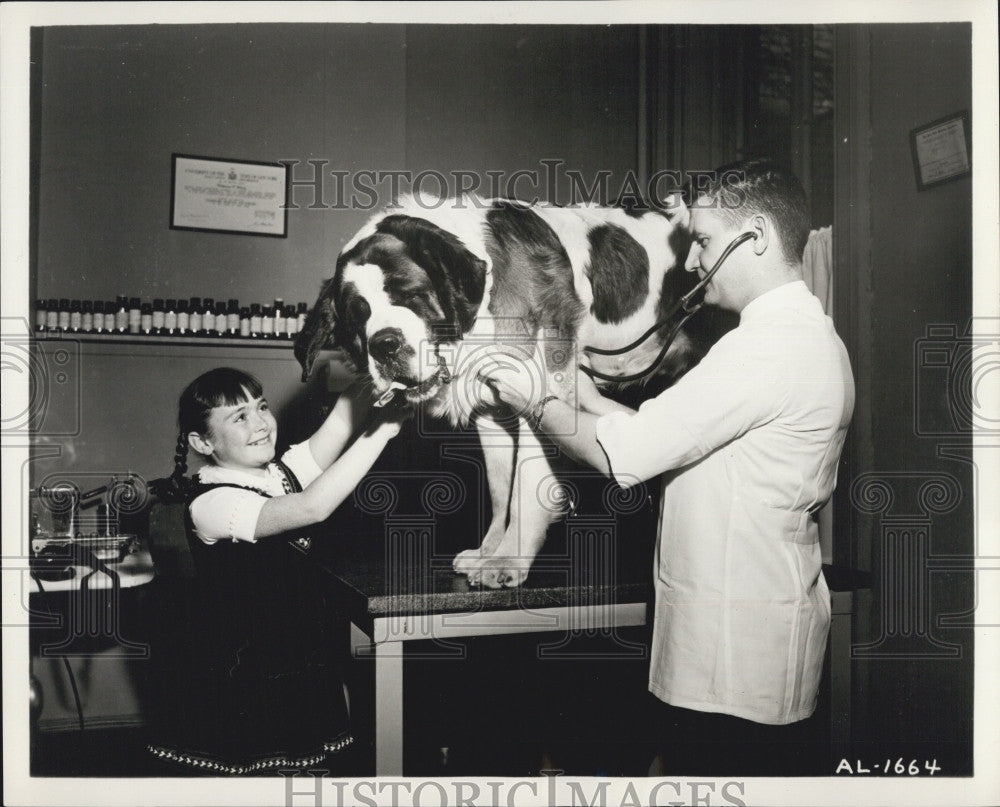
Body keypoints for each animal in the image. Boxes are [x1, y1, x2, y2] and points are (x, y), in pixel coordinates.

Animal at [296, 196, 712, 588]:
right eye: (358, 316)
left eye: (410, 295)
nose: (383, 344)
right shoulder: (490, 413)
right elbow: (501, 488)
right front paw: (489, 550)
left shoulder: (537, 384)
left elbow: (525, 485)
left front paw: (508, 561)